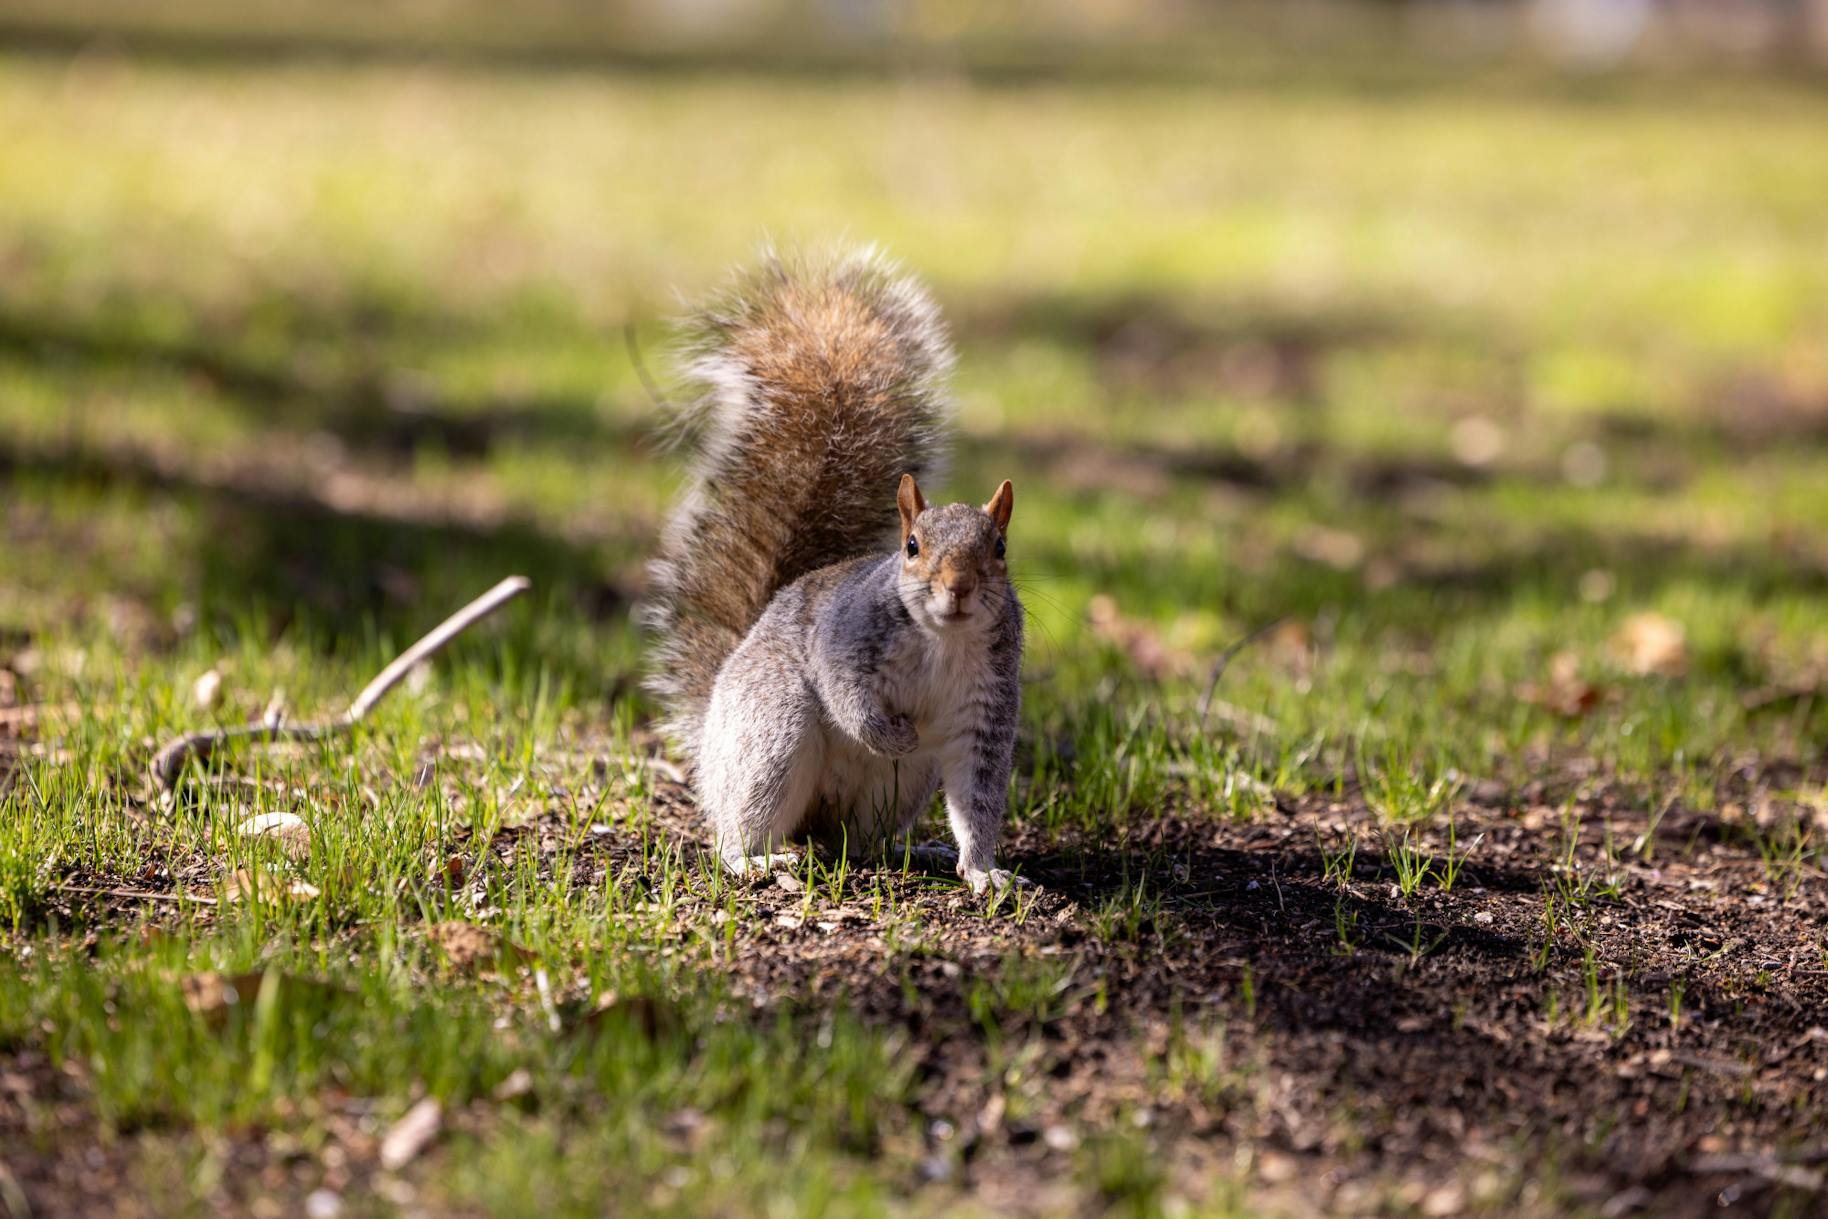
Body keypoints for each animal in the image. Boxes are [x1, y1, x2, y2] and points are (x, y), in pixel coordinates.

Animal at [640, 247, 1025, 895]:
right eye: (912, 546)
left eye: (999, 548)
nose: (959, 588)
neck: (943, 641)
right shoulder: (844, 643)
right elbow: (849, 700)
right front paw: (893, 733)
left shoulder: (986, 704)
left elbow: (978, 795)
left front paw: (982, 870)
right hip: (771, 728)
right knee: (741, 826)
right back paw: (756, 860)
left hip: (900, 785)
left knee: (859, 841)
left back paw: (914, 851)